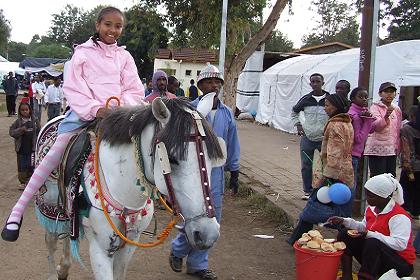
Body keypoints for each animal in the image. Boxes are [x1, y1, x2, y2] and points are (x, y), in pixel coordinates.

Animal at [35, 97, 226, 280]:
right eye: (172, 159)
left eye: (211, 158)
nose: (208, 234)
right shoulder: (100, 249)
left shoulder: (130, 244)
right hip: (49, 206)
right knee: (51, 240)